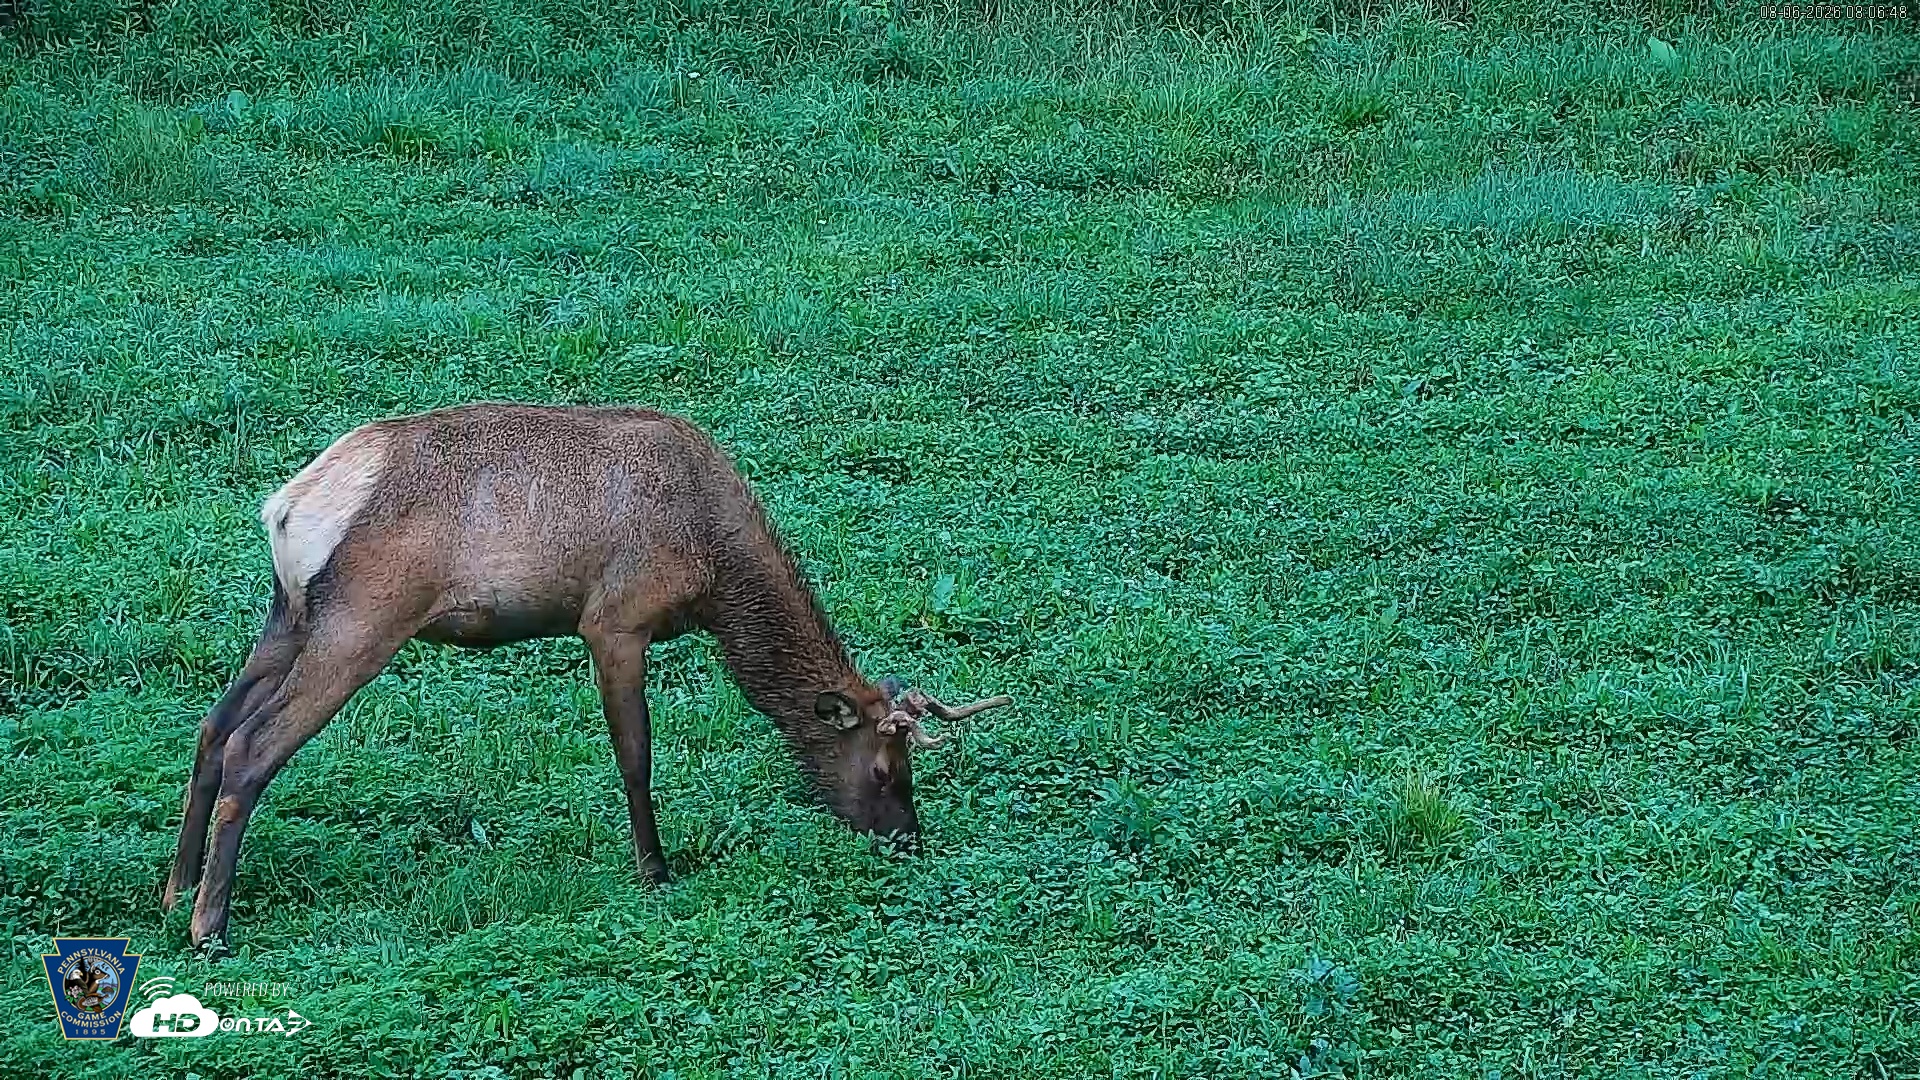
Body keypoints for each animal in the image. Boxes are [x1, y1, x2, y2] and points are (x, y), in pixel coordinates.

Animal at [161, 402, 1013, 948]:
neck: (717, 574)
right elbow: (635, 758)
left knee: (212, 727)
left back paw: (174, 892)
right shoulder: (614, 620)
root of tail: (286, 506)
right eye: (883, 769)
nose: (908, 840)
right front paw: (656, 870)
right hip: (362, 621)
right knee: (252, 746)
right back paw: (210, 926)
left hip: (287, 615)